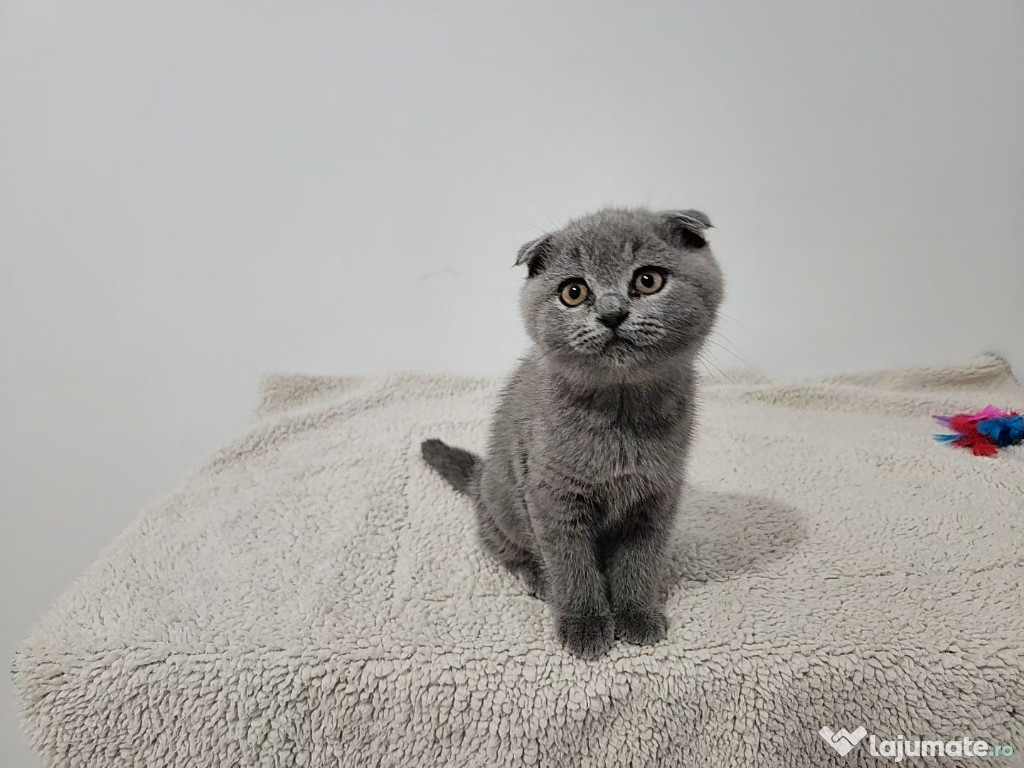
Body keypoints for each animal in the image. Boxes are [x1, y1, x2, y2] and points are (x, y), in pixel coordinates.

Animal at [419, 207, 724, 659]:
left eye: (648, 280)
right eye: (574, 292)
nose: (612, 313)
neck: (620, 417)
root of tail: (479, 476)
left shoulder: (655, 496)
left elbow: (639, 561)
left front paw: (636, 614)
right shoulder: (553, 496)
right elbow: (572, 565)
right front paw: (585, 624)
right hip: (500, 500)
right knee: (507, 549)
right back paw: (537, 578)